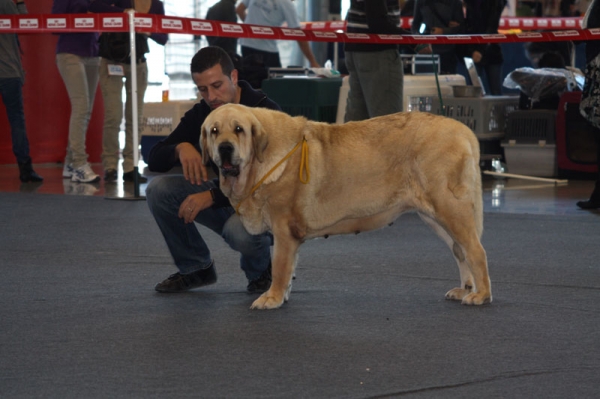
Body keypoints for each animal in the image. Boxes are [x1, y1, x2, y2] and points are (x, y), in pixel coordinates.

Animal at [202, 103, 492, 310]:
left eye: (238, 129)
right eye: (214, 131)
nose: (225, 148)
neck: (258, 161)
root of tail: (463, 130)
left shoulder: (284, 230)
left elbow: (281, 268)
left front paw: (271, 298)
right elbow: (289, 268)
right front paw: (282, 296)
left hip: (450, 208)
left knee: (476, 250)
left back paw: (481, 294)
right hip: (435, 216)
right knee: (460, 251)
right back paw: (466, 289)